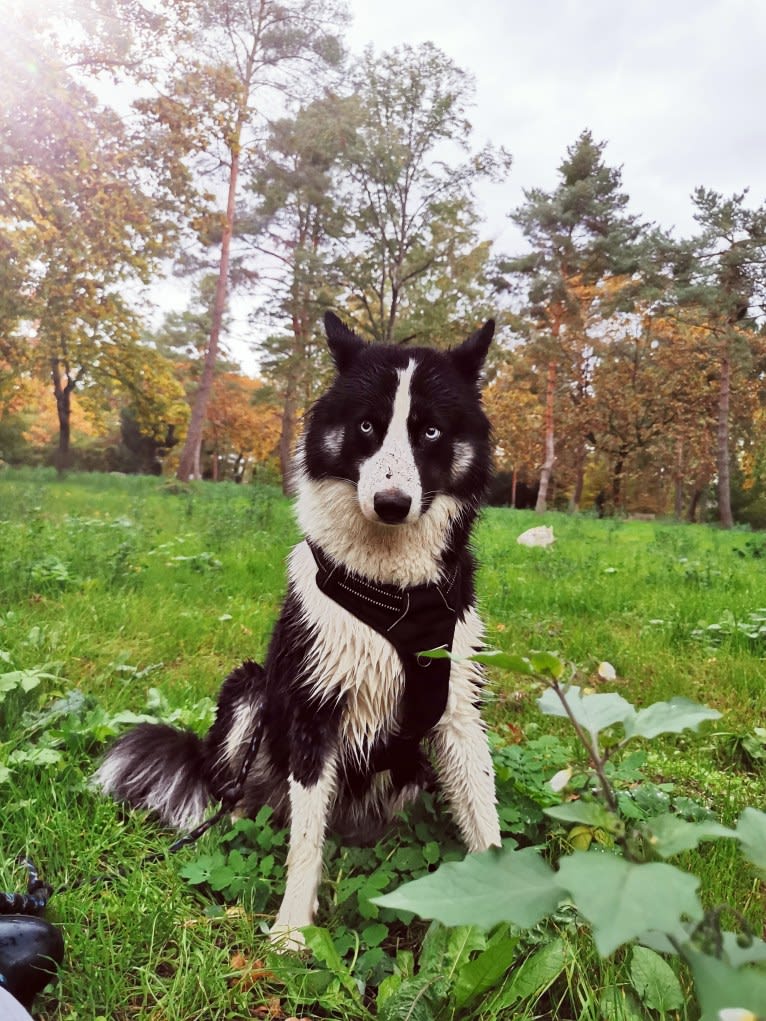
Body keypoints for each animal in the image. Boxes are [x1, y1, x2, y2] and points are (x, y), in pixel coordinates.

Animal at [94, 310, 504, 947]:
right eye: (367, 425)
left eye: (431, 432)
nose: (391, 503)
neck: (392, 590)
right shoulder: (315, 713)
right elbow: (305, 844)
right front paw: (291, 932)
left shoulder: (457, 711)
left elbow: (485, 820)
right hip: (252, 691)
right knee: (234, 797)